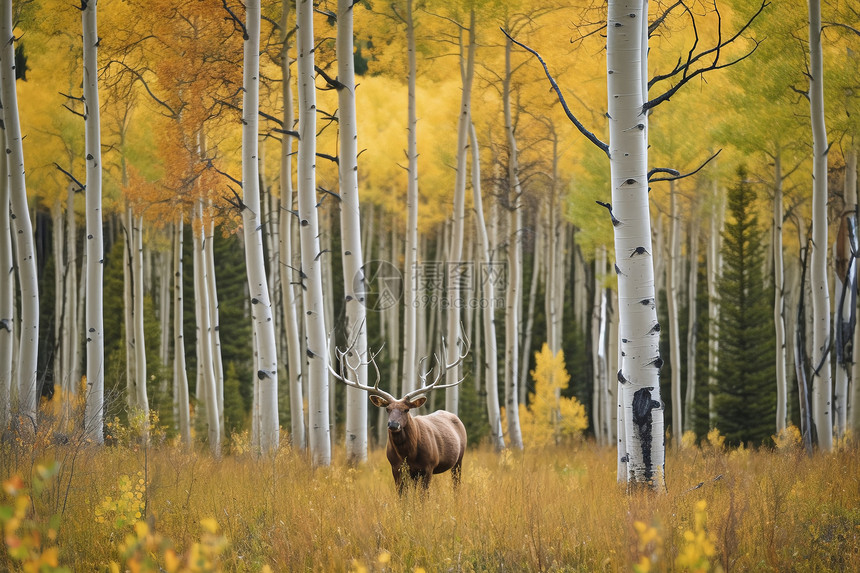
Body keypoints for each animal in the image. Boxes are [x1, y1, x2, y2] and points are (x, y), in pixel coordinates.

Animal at [330, 330, 470, 492]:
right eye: (387, 409)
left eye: (406, 409)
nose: (393, 425)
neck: (408, 455)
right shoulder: (396, 469)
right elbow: (403, 495)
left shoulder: (428, 467)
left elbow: (424, 496)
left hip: (459, 459)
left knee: (456, 485)